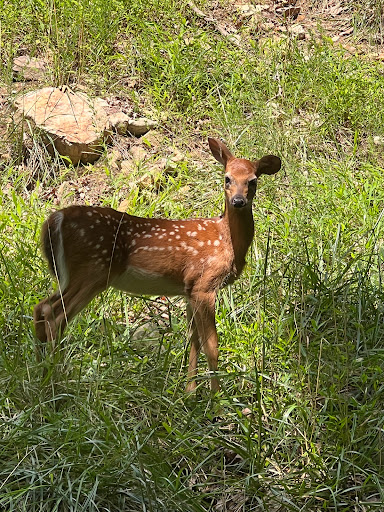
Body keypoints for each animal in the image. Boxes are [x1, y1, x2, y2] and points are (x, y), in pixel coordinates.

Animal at [34, 137, 280, 392]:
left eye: (253, 180)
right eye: (227, 178)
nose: (238, 201)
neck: (226, 239)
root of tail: (54, 220)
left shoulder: (189, 289)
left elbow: (194, 339)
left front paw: (189, 392)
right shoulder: (205, 284)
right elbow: (212, 345)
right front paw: (216, 398)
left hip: (72, 276)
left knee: (41, 308)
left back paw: (42, 375)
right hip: (93, 271)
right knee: (55, 316)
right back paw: (57, 379)